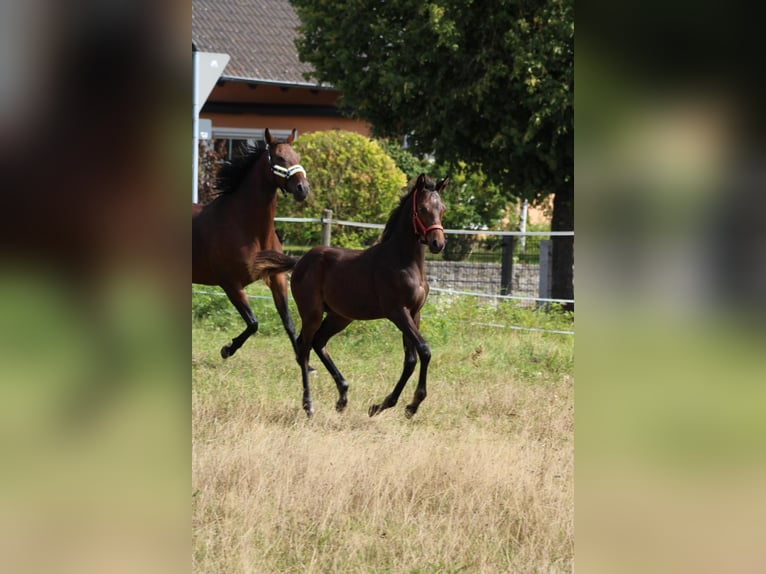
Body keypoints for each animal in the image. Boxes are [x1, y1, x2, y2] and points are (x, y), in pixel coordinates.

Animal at [194, 129, 310, 360]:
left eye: (298, 157)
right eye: (279, 158)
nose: (303, 189)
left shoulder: (276, 278)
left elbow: (289, 323)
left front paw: (307, 365)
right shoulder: (230, 283)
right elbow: (253, 323)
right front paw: (227, 349)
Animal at [250, 172, 450, 418]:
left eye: (442, 208)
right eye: (421, 208)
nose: (438, 243)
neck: (403, 261)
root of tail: (300, 261)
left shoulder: (414, 314)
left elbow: (410, 359)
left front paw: (382, 405)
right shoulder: (398, 312)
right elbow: (424, 350)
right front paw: (412, 404)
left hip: (340, 317)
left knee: (318, 342)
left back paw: (342, 396)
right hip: (312, 313)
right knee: (304, 347)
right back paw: (309, 405)